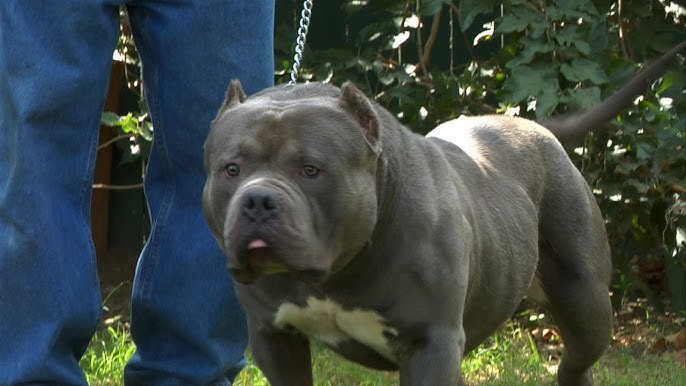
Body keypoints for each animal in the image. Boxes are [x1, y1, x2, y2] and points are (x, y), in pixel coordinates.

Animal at [204, 42, 686, 386]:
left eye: (310, 170)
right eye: (231, 169)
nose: (258, 201)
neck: (337, 271)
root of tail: (533, 126)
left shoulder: (430, 344)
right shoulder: (273, 336)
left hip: (585, 301)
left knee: (577, 360)